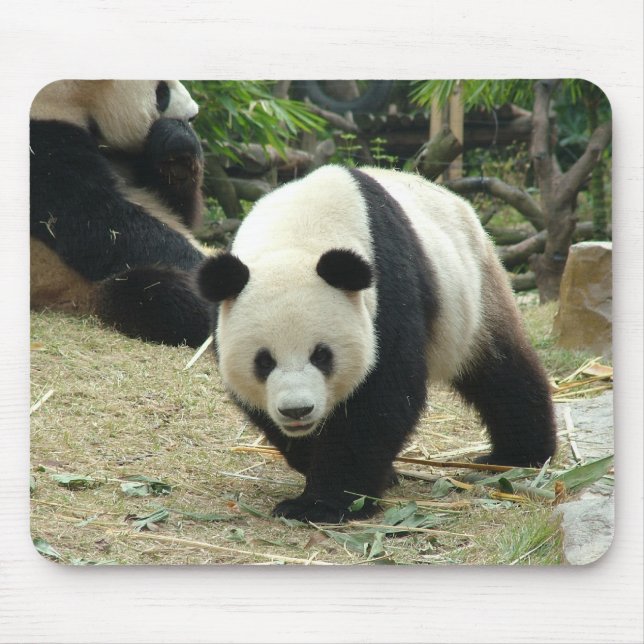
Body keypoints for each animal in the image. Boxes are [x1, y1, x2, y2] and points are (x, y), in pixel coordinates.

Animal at [30, 79, 210, 347]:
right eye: (162, 93)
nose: (193, 115)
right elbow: (103, 225)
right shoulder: (43, 148)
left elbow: (179, 210)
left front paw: (177, 146)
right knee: (158, 293)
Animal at [197, 165, 557, 523]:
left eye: (322, 355)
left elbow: (381, 399)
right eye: (264, 361)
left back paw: (518, 454)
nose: (297, 410)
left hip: (475, 292)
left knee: (501, 374)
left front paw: (323, 503)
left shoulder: (388, 291)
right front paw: (321, 465)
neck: (296, 233)